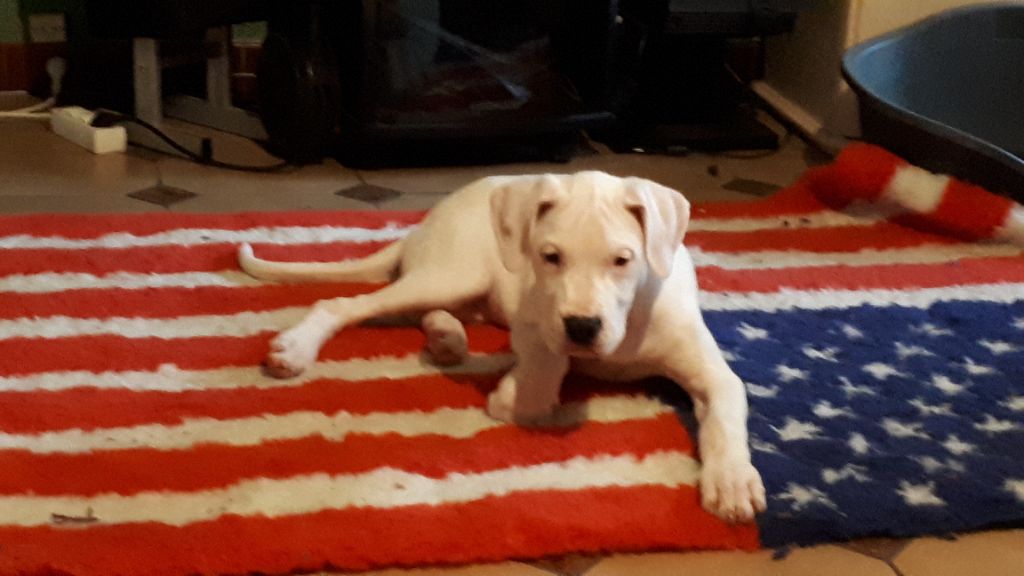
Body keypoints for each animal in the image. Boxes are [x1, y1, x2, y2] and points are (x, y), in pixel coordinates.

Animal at [238, 171, 767, 522]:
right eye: (550, 257)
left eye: (623, 260)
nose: (581, 327)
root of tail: (426, 223)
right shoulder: (536, 323)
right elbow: (537, 382)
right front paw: (516, 391)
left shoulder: (712, 372)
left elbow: (725, 408)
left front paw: (731, 481)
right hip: (455, 273)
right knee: (343, 303)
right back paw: (297, 347)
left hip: (458, 289)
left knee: (428, 312)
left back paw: (446, 337)